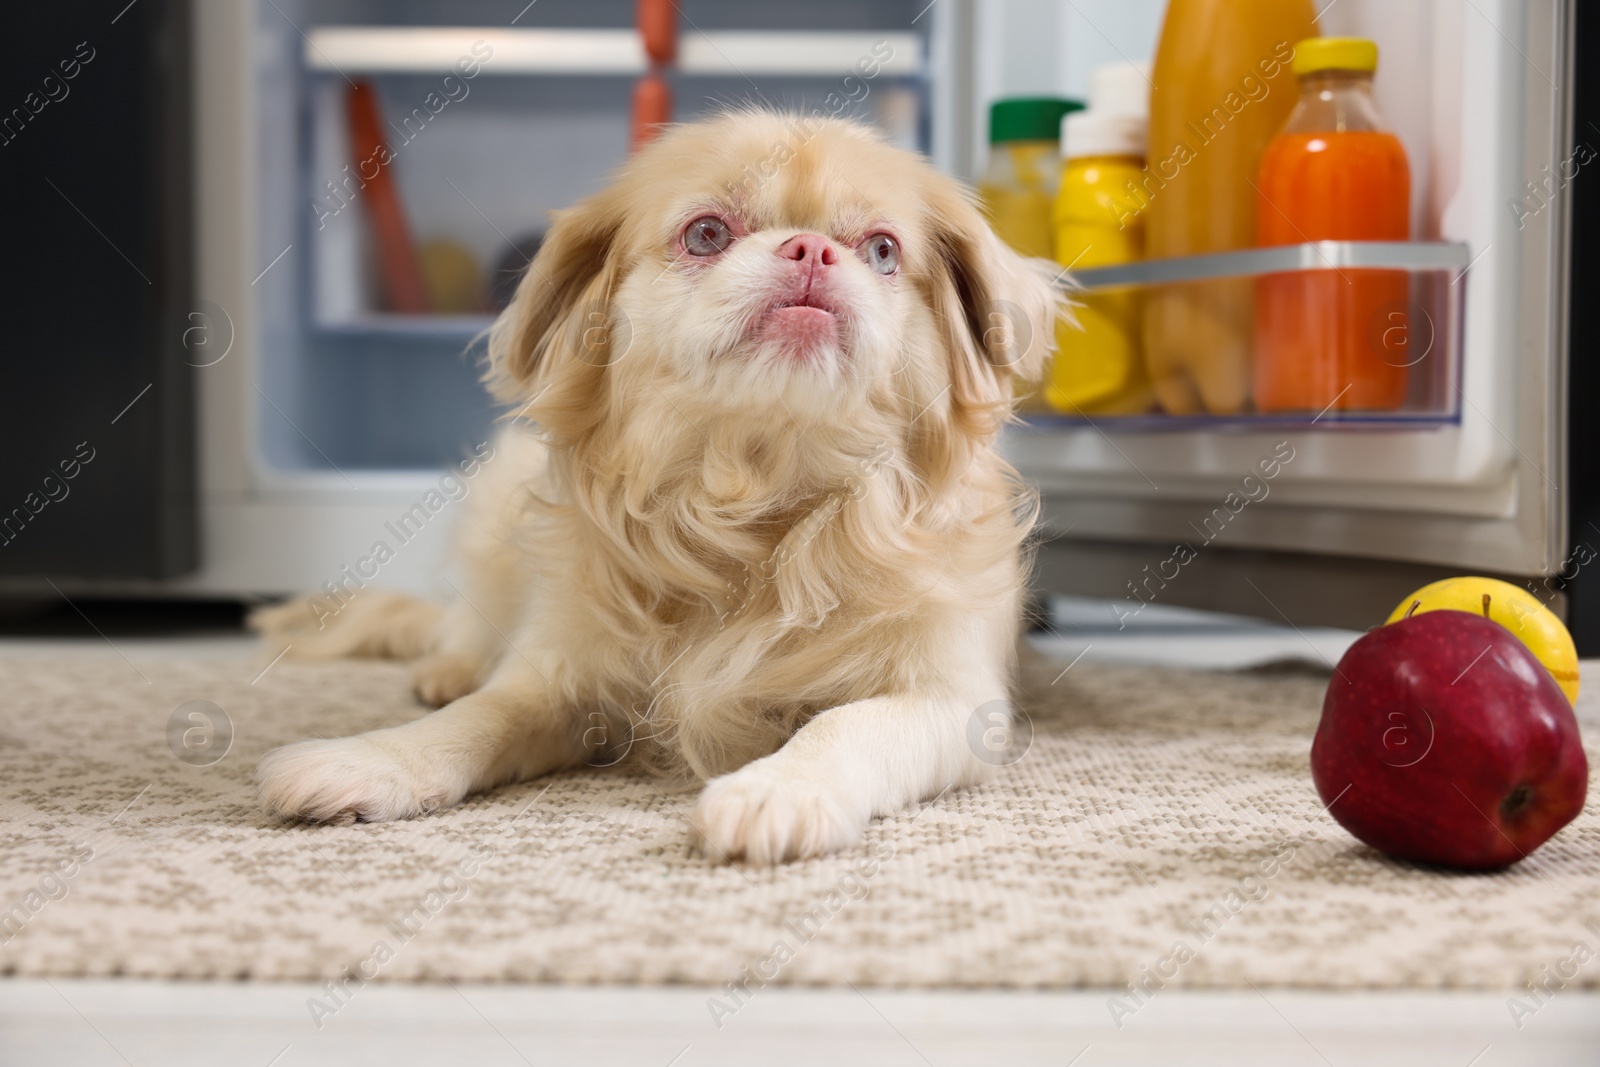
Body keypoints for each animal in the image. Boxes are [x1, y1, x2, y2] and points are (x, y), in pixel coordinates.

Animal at [252, 108, 1062, 863]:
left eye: (884, 251)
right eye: (705, 235)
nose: (810, 248)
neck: (757, 496)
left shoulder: (950, 702)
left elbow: (847, 725)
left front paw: (778, 790)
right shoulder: (555, 679)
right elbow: (481, 718)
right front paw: (373, 758)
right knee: (467, 632)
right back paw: (447, 670)